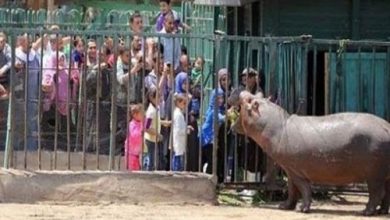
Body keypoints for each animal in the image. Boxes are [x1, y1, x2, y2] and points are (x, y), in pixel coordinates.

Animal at [229, 89, 390, 215]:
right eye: (259, 94)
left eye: (250, 100)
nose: (238, 89)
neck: (279, 125)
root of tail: (387, 126)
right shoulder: (289, 170)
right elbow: (291, 190)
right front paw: (284, 206)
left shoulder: (296, 171)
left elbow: (304, 189)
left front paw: (302, 209)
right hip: (384, 175)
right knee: (385, 195)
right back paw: (381, 211)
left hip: (374, 174)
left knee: (377, 193)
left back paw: (366, 212)